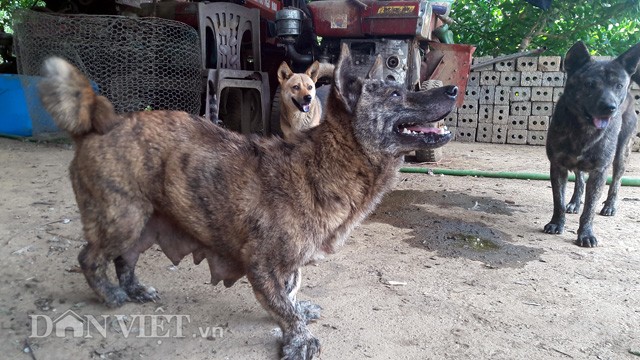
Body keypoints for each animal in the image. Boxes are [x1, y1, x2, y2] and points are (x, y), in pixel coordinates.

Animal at [38, 45, 456, 360]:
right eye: (395, 95)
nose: (452, 89)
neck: (326, 162)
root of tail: (100, 123)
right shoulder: (262, 263)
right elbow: (281, 303)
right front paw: (299, 338)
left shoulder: (288, 264)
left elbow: (291, 289)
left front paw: (298, 312)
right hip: (121, 218)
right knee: (90, 257)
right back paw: (110, 294)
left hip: (143, 223)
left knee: (125, 259)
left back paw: (134, 289)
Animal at [544, 40, 640, 246]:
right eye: (589, 84)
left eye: (618, 85)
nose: (610, 107)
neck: (583, 130)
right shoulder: (557, 165)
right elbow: (558, 200)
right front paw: (556, 223)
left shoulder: (599, 171)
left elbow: (590, 208)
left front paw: (586, 234)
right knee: (580, 179)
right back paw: (574, 202)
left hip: (622, 153)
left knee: (617, 180)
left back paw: (610, 206)